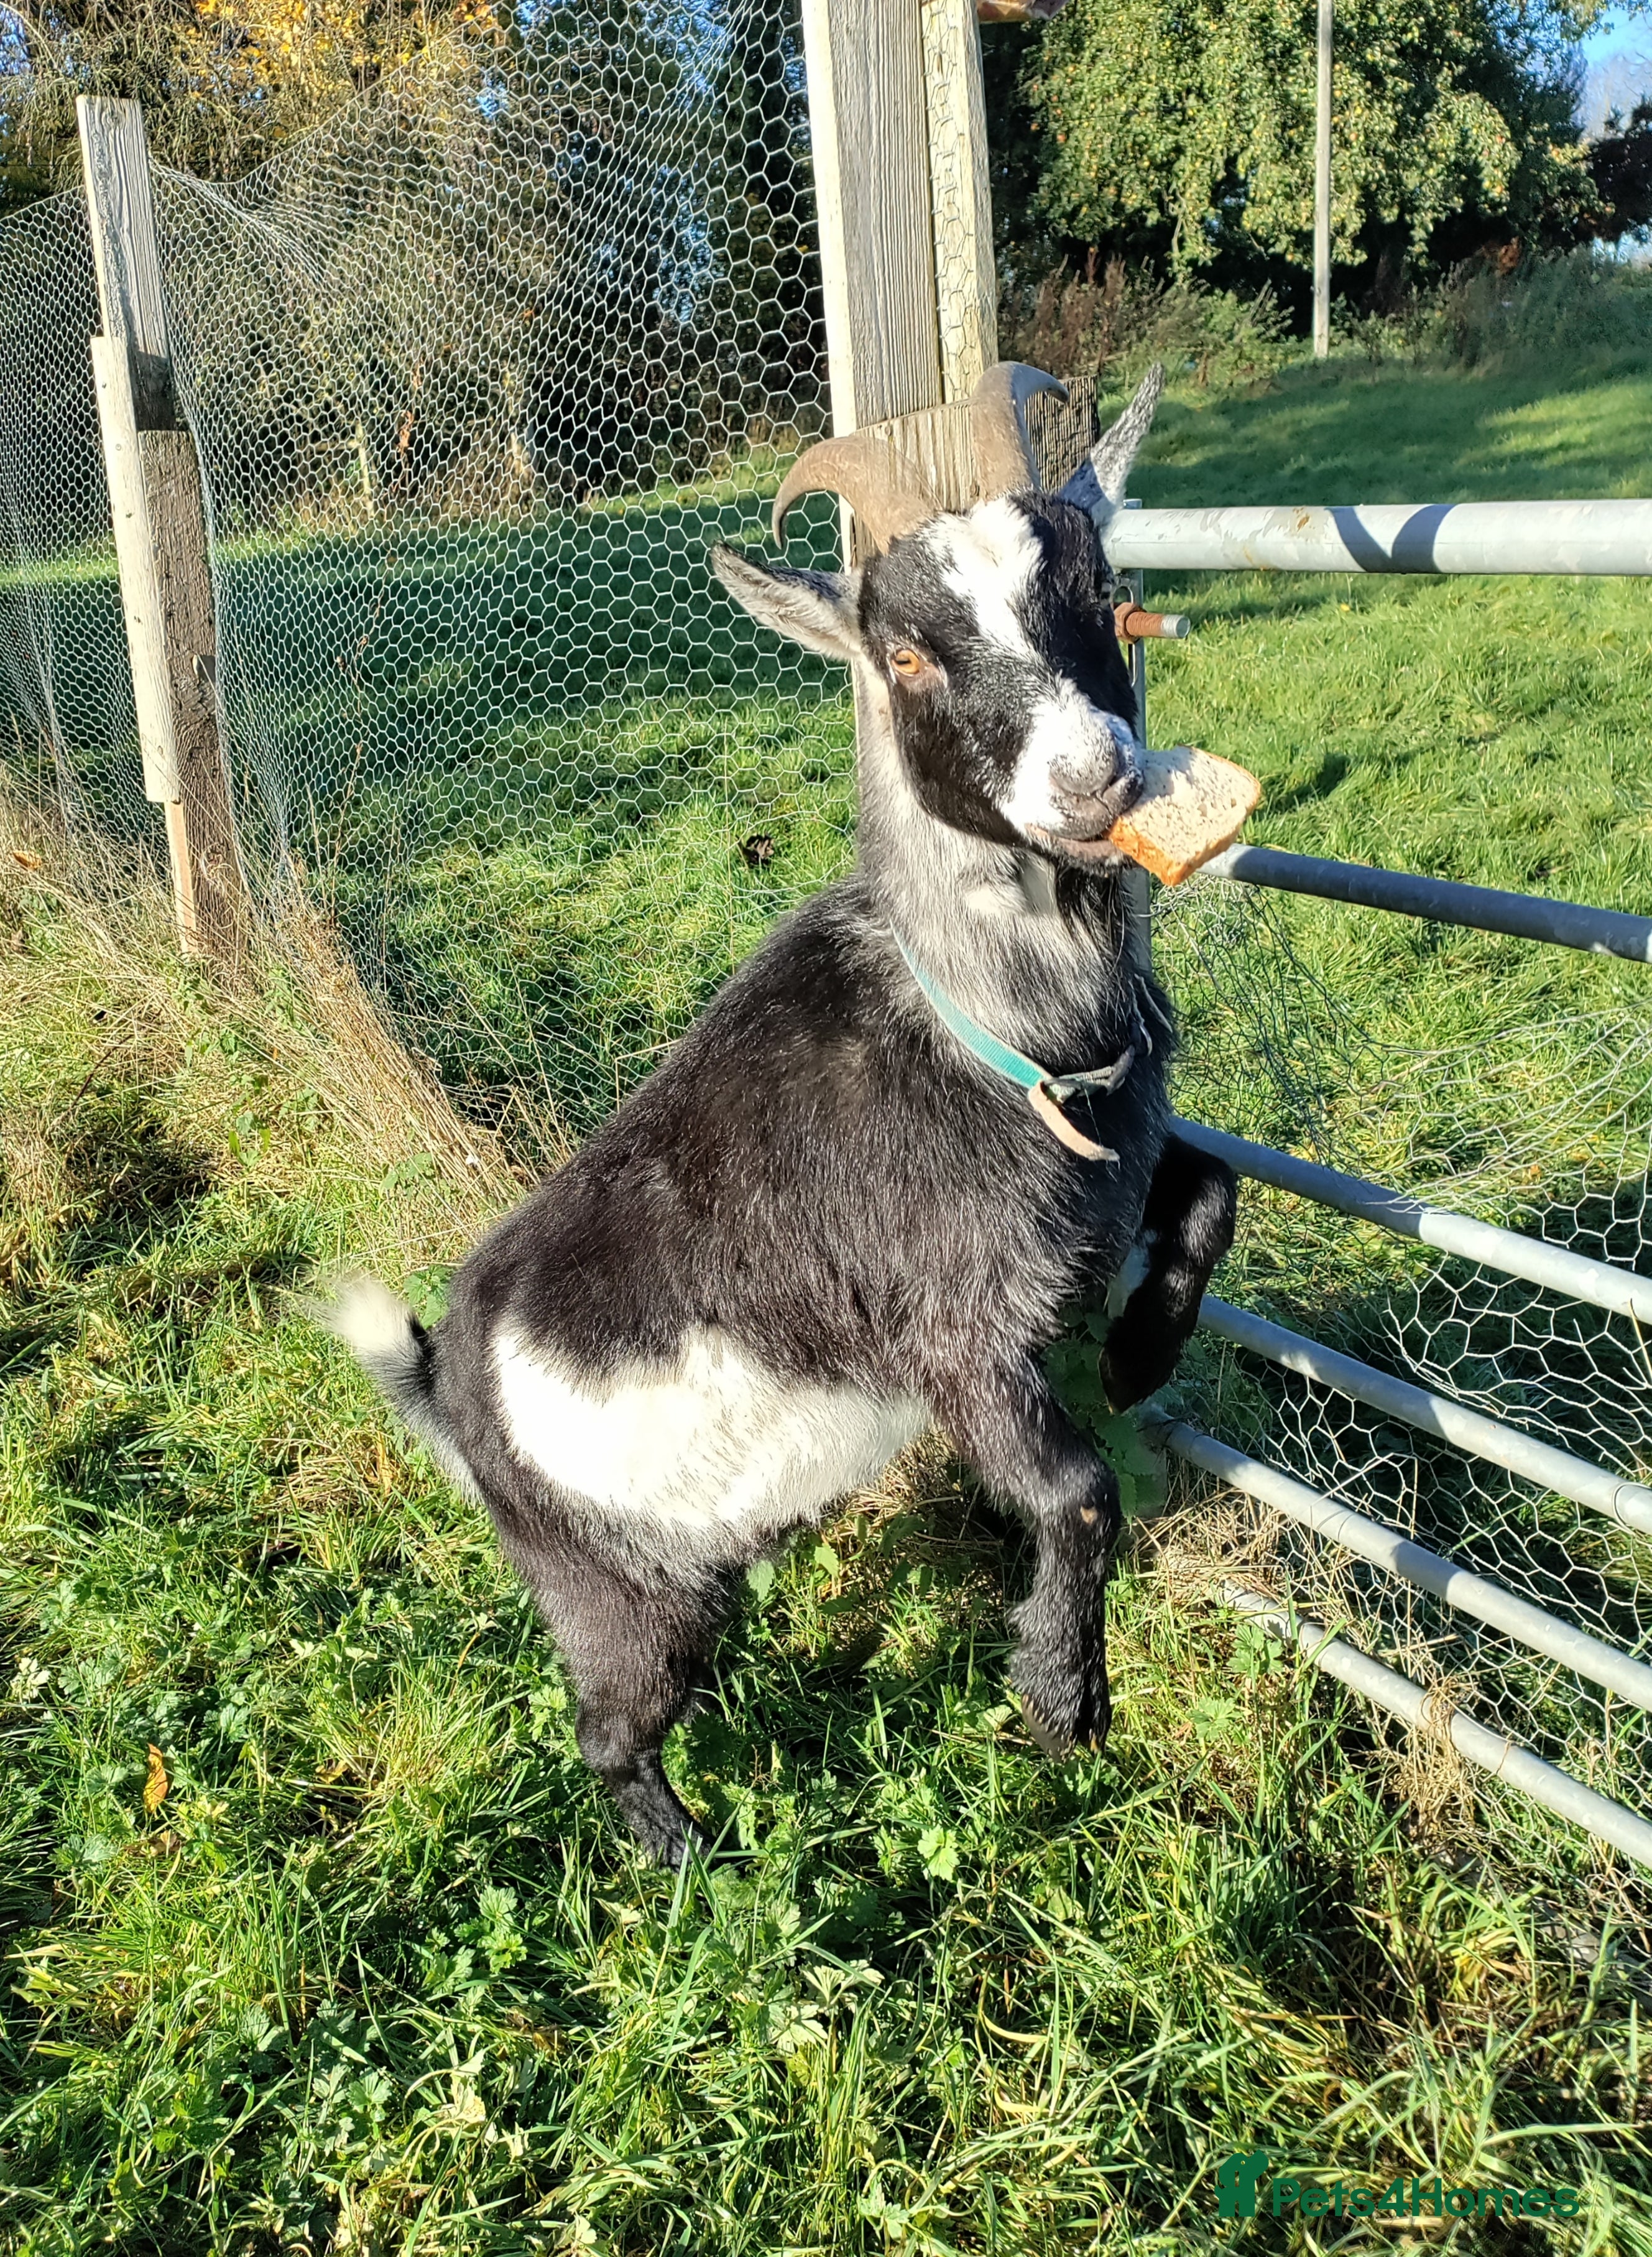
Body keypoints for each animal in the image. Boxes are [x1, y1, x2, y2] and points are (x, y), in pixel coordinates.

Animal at [333, 362, 1236, 1865]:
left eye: (1107, 592)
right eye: (905, 653)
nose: (1091, 777)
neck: (989, 1027)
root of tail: (443, 1380)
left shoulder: (1102, 1179)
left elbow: (1210, 1190)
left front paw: (1133, 1358)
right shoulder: (953, 1330)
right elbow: (1073, 1491)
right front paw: (1062, 1695)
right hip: (610, 1594)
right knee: (608, 1731)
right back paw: (695, 1862)